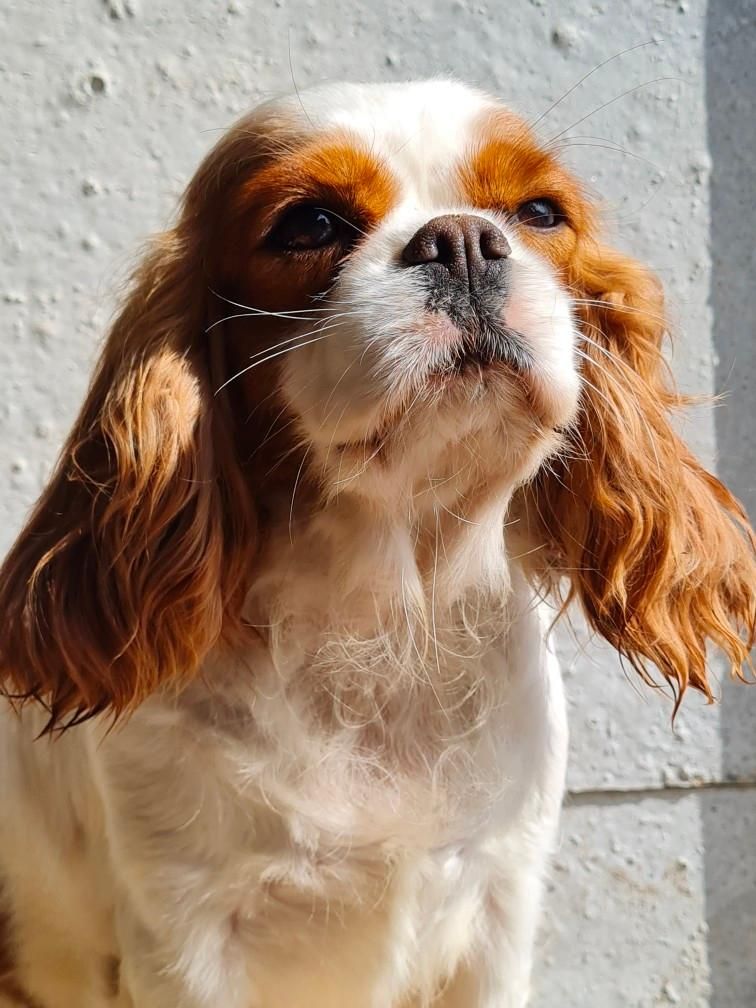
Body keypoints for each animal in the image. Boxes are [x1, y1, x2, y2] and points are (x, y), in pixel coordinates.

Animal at [0, 79, 753, 1008]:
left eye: (541, 212)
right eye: (310, 224)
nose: (461, 240)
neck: (391, 617)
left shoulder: (499, 913)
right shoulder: (183, 937)